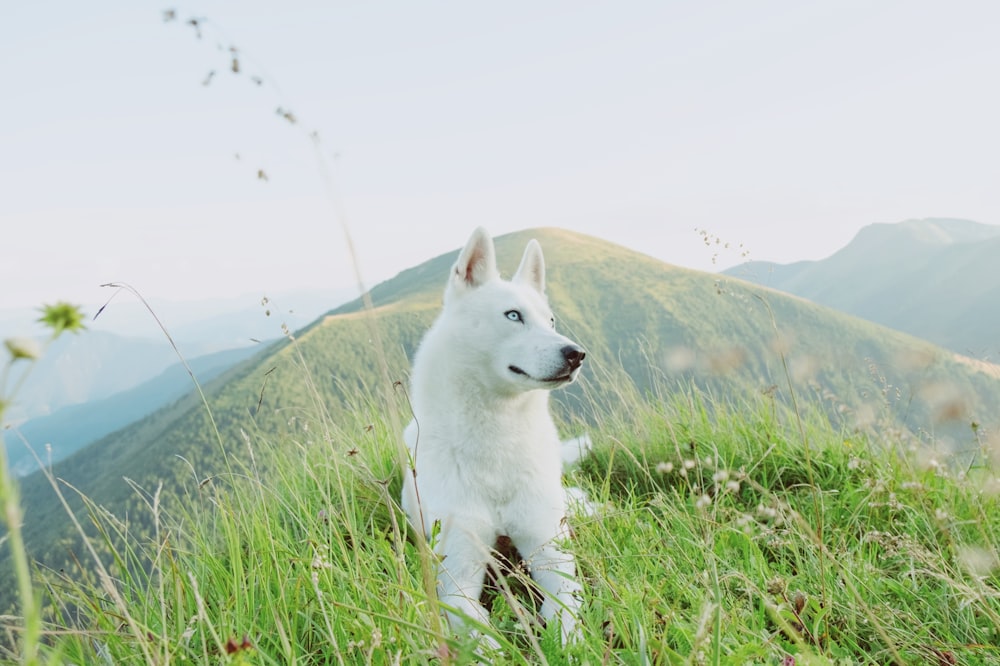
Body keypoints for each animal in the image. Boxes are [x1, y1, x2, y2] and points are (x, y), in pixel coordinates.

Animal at [400, 224, 584, 644]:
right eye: (513, 315)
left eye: (551, 321)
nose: (576, 354)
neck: (496, 441)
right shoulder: (457, 577)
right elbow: (479, 632)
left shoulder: (550, 553)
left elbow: (565, 610)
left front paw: (570, 645)